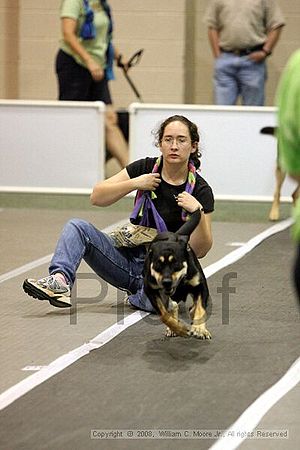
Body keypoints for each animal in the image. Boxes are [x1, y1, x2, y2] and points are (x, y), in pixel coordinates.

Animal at [143, 209, 211, 340]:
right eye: (158, 265)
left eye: (176, 264)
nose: (166, 282)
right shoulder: (150, 289)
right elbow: (164, 314)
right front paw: (178, 329)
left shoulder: (200, 286)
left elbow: (200, 308)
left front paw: (199, 329)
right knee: (173, 306)